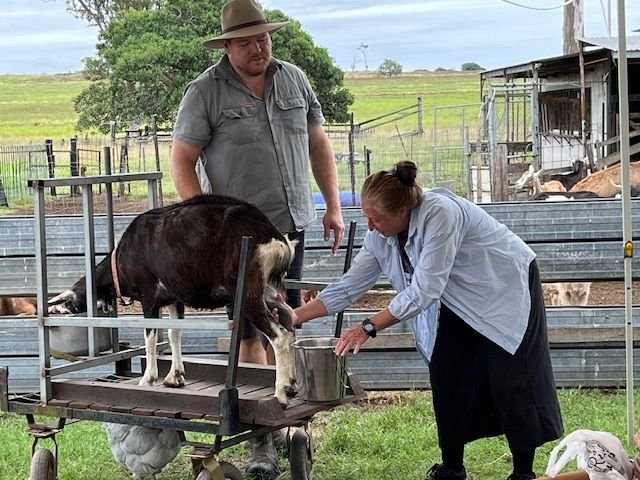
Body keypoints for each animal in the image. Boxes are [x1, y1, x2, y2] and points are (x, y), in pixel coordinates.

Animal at [48, 193, 298, 406]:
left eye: (70, 304)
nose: (57, 312)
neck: (121, 260)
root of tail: (276, 239)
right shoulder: (174, 297)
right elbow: (174, 333)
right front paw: (174, 377)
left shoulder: (149, 295)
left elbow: (150, 338)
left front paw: (147, 379)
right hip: (271, 291)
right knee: (290, 325)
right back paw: (293, 385)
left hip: (247, 293)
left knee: (278, 335)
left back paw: (281, 392)